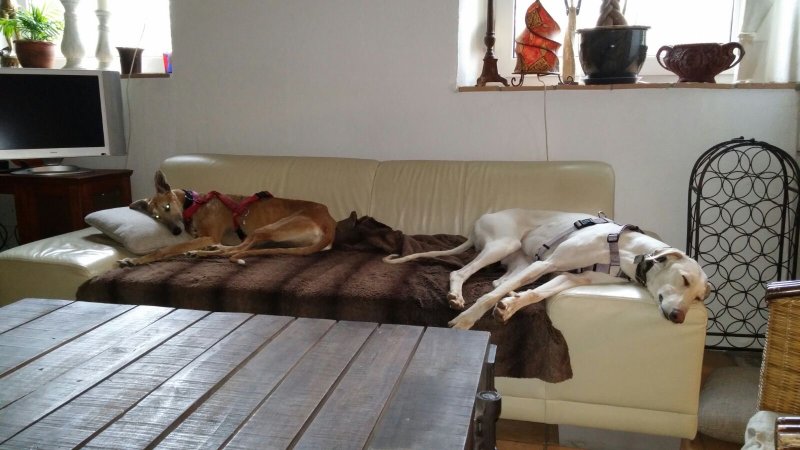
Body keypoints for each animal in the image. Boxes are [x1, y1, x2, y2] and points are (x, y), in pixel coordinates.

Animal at [120, 170, 337, 266]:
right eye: (156, 216)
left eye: (167, 207)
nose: (176, 231)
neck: (195, 203)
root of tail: (329, 223)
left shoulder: (209, 235)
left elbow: (167, 249)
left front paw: (136, 260)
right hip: (275, 238)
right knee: (237, 248)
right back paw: (207, 251)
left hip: (269, 229)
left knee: (235, 251)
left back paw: (202, 252)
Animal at [384, 209, 710, 329]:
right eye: (684, 279)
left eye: (698, 298)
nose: (679, 317)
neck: (625, 248)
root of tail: (478, 223)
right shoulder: (548, 263)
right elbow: (490, 297)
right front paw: (466, 320)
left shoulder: (569, 276)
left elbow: (534, 295)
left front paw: (510, 306)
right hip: (504, 244)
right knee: (461, 273)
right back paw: (456, 298)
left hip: (520, 260)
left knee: (497, 282)